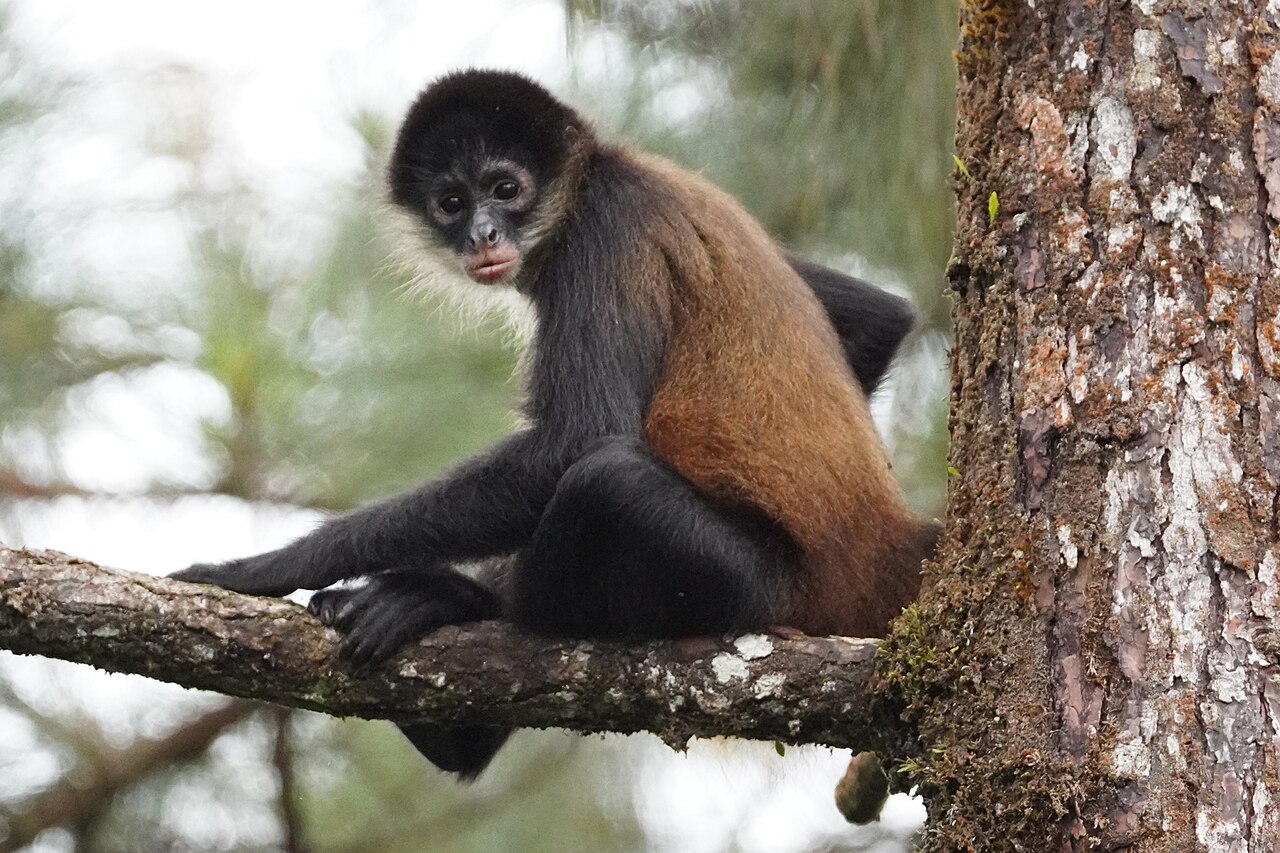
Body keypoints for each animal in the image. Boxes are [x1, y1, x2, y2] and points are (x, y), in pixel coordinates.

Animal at [173, 69, 940, 778]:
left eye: (506, 189)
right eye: (452, 203)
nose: (481, 234)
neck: (602, 173)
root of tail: (883, 548)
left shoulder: (604, 230)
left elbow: (577, 441)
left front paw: (269, 565)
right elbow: (882, 316)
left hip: (761, 584)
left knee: (607, 478)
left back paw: (459, 602)